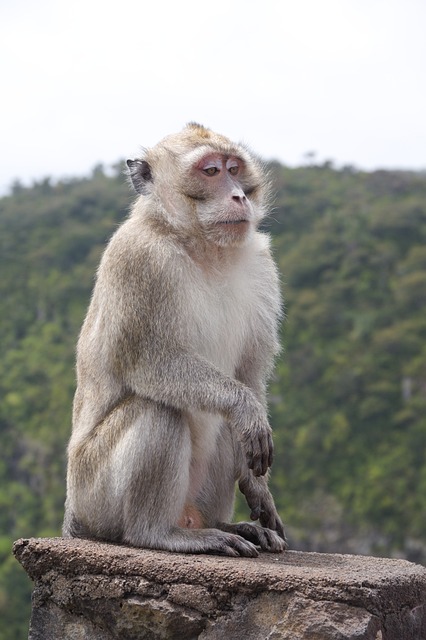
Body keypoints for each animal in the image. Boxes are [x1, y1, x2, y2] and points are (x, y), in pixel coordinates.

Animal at [62, 124, 286, 556]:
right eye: (211, 171)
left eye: (234, 168)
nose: (238, 195)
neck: (203, 247)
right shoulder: (138, 260)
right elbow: (149, 364)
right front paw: (245, 407)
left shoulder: (262, 266)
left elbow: (249, 377)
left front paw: (258, 489)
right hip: (93, 492)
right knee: (160, 409)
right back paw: (157, 534)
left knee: (222, 422)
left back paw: (229, 525)